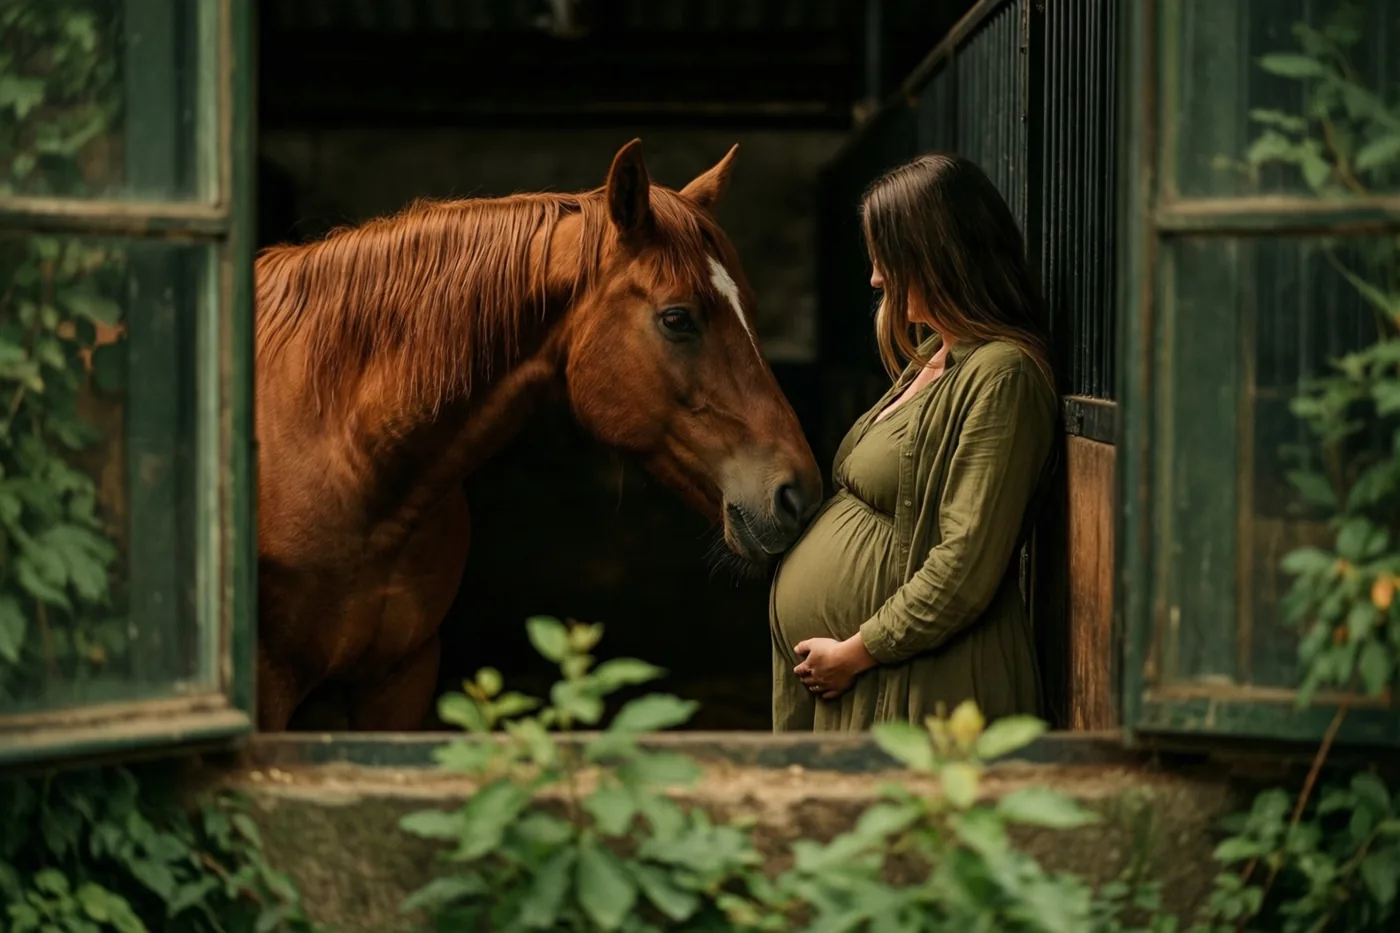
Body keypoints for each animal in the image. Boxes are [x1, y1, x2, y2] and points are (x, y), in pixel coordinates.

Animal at [252, 140, 824, 731]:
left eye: (749, 307)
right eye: (676, 318)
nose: (798, 494)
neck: (344, 451)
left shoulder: (401, 677)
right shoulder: (270, 683)